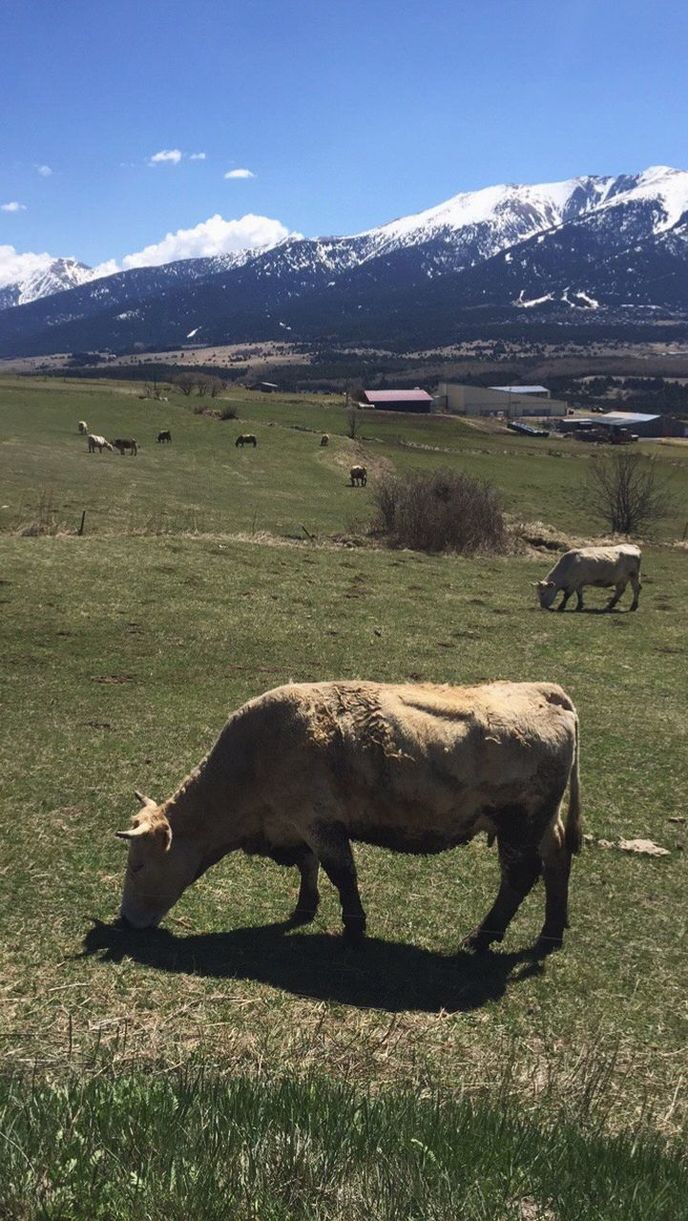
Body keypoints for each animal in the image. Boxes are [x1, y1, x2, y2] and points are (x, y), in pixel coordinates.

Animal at [117, 678, 581, 952]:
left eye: (137, 866)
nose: (125, 921)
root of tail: (547, 692)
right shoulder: (297, 825)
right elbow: (308, 866)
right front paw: (305, 908)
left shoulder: (319, 822)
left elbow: (341, 873)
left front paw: (354, 926)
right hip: (542, 822)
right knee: (557, 860)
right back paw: (551, 930)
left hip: (520, 822)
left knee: (519, 876)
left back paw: (483, 937)